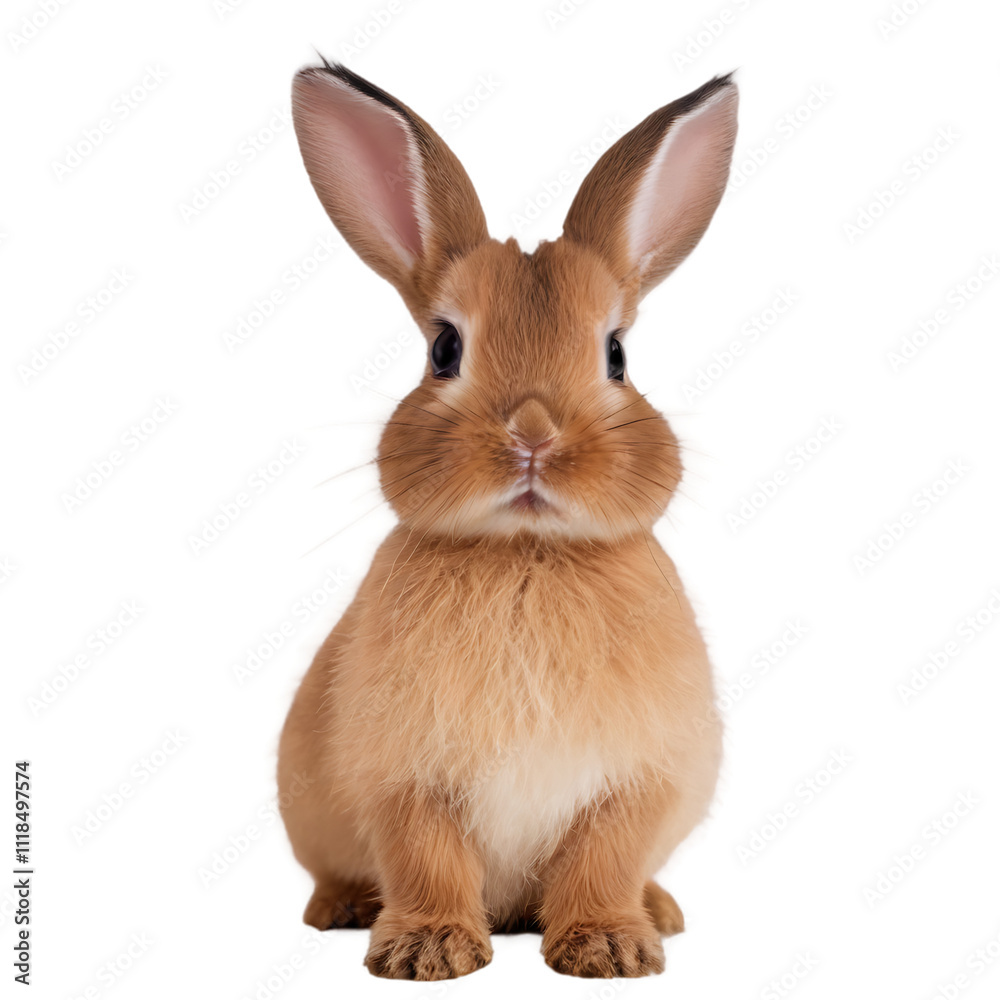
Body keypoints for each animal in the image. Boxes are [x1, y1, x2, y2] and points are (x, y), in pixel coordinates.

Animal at [278, 59, 738, 980]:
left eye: (617, 355)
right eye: (443, 349)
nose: (532, 434)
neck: (527, 553)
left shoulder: (636, 783)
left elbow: (605, 857)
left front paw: (608, 947)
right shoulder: (404, 780)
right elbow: (426, 856)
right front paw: (427, 952)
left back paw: (660, 912)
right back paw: (340, 909)